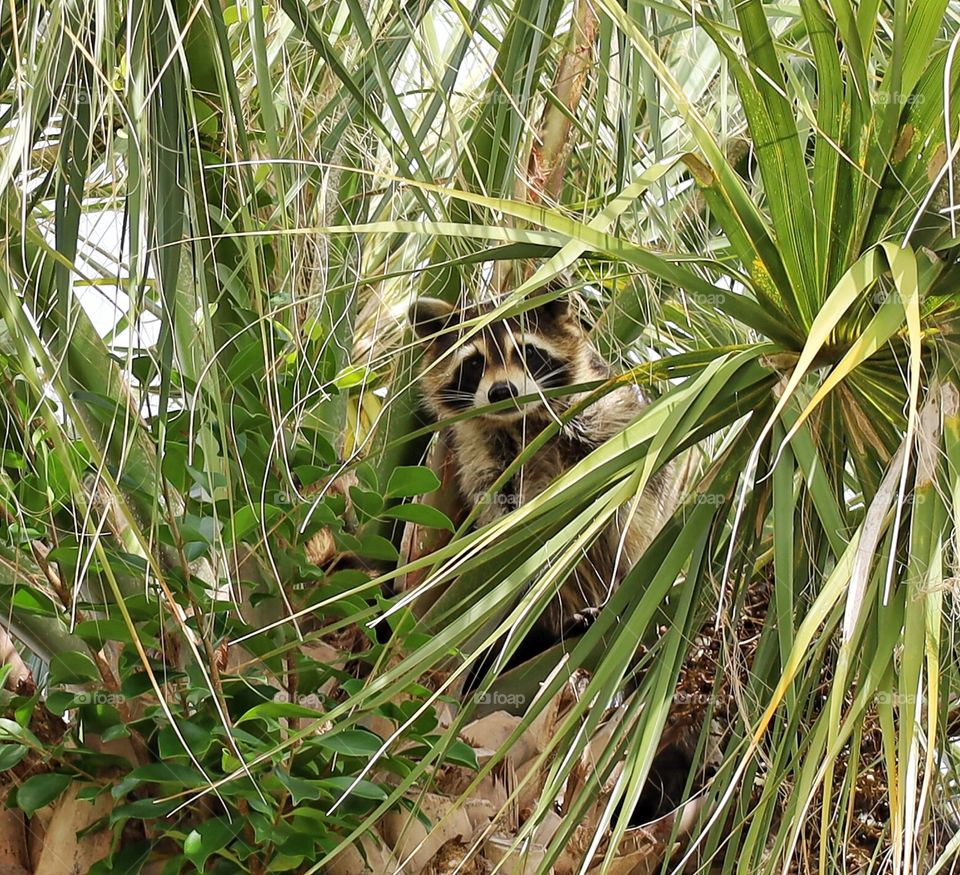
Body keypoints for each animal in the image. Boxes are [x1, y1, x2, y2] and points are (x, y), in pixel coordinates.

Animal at [410, 295, 677, 640]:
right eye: (474, 363)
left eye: (526, 352)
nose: (501, 391)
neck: (521, 419)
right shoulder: (478, 447)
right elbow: (497, 510)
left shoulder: (606, 405)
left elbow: (635, 496)